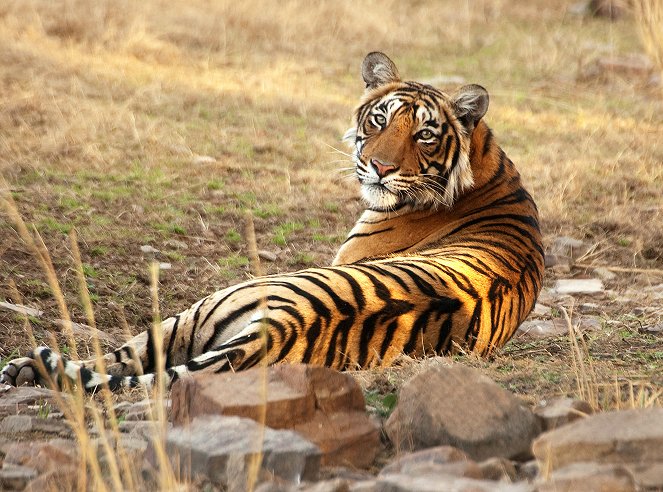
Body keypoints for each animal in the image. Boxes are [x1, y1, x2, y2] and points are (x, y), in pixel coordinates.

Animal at [0, 52, 544, 392]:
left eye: (425, 135)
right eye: (380, 119)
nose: (381, 167)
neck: (486, 162)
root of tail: (283, 324)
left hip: (202, 307)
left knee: (121, 355)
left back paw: (23, 368)